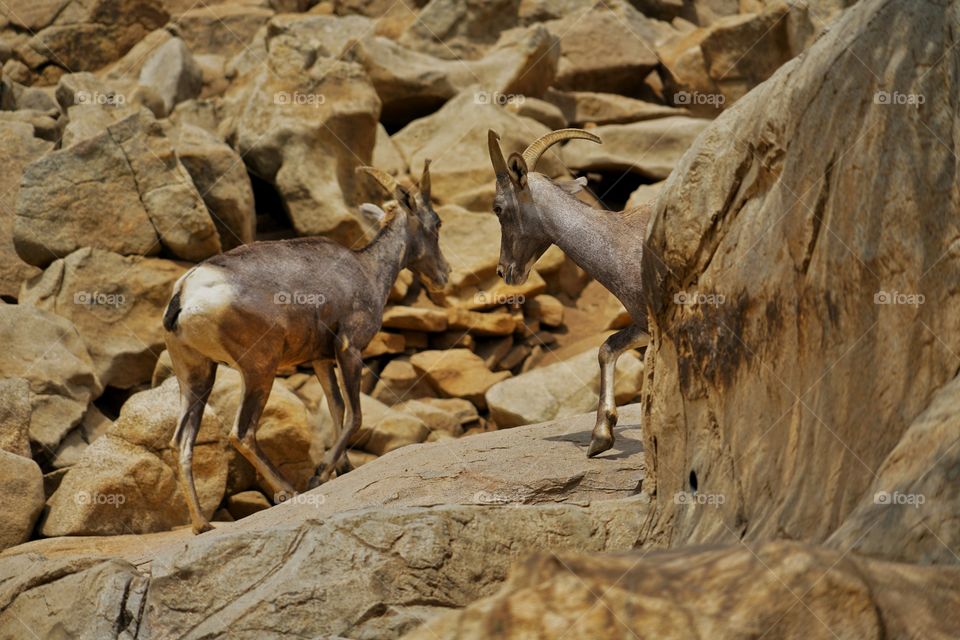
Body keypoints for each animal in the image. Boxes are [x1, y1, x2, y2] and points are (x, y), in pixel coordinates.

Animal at [163, 162, 452, 532]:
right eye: (437, 222)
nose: (444, 275)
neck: (367, 270)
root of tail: (185, 292)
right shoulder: (349, 351)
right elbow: (355, 416)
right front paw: (320, 474)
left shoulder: (321, 361)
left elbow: (337, 409)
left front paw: (341, 469)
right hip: (259, 370)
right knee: (241, 433)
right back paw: (291, 491)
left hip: (197, 375)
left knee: (182, 441)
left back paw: (202, 524)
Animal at [488, 130, 652, 458]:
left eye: (498, 208)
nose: (504, 271)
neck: (623, 242)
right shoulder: (644, 325)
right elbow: (607, 348)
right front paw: (601, 438)